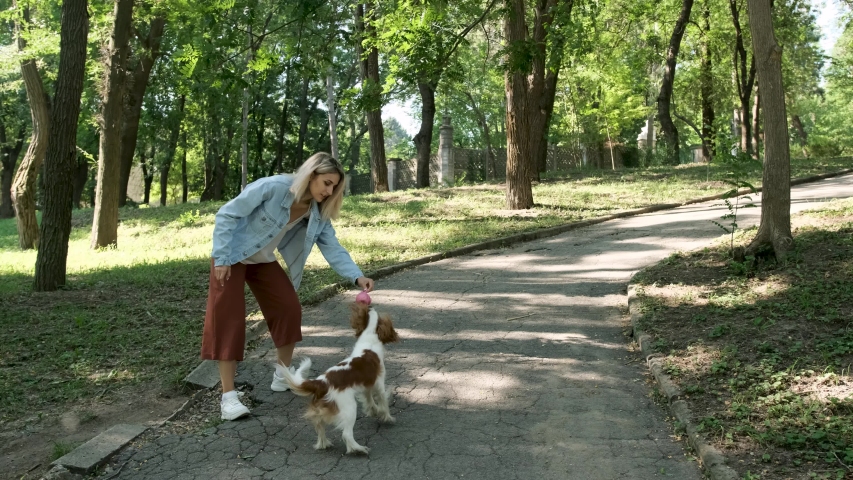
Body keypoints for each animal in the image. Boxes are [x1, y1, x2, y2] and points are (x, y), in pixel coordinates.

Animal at [278, 302, 402, 456]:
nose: (370, 305)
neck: (369, 337)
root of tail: (321, 383)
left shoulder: (366, 385)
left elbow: (369, 399)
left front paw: (373, 410)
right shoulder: (379, 384)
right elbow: (383, 402)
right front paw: (387, 417)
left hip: (321, 411)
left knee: (319, 426)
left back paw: (323, 444)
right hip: (349, 408)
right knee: (347, 434)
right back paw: (358, 449)